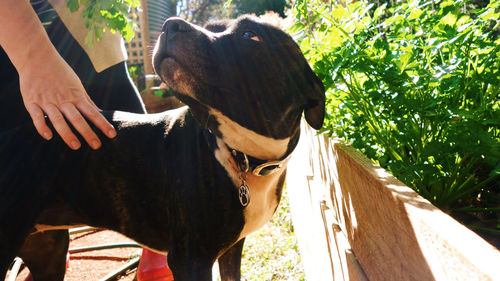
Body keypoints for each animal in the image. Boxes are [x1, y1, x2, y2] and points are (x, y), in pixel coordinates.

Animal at [0, 15, 326, 280]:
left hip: (49, 253)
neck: (245, 157)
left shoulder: (232, 250)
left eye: (250, 35)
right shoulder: (191, 260)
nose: (171, 24)